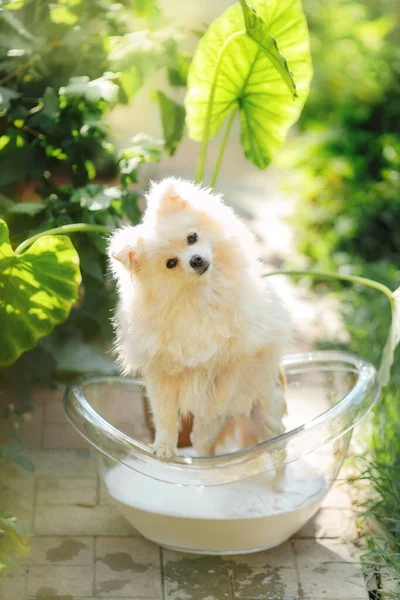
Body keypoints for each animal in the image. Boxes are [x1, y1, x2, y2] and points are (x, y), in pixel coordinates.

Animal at [108, 177, 292, 460]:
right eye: (171, 263)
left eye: (192, 238)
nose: (195, 260)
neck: (200, 296)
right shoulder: (161, 375)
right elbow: (164, 416)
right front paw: (164, 447)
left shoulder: (242, 349)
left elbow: (227, 377)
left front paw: (217, 403)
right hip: (204, 438)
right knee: (208, 447)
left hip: (269, 414)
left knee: (276, 443)